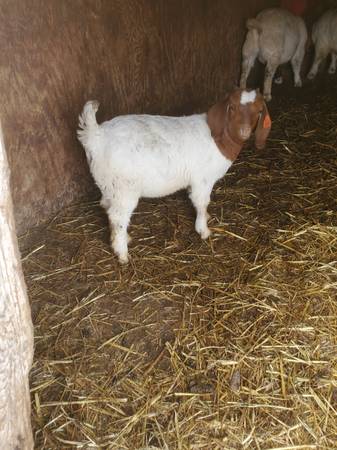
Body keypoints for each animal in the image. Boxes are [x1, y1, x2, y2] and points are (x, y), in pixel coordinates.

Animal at [78, 88, 270, 264]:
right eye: (232, 108)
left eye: (259, 111)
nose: (244, 132)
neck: (219, 139)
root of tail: (96, 136)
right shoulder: (203, 179)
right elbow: (201, 203)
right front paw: (204, 230)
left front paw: (206, 218)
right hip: (125, 189)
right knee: (117, 216)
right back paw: (122, 253)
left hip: (109, 185)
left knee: (106, 207)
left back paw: (122, 238)